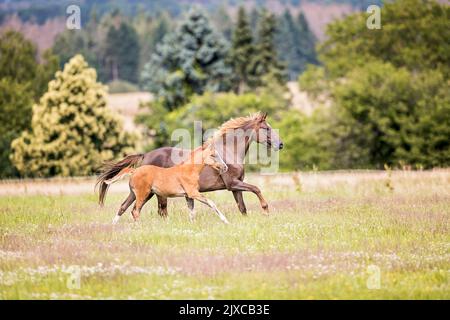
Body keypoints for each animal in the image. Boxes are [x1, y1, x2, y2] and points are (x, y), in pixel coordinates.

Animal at [96, 112, 284, 218]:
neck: (228, 151)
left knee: (124, 207)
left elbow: (242, 207)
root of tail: (145, 156)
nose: (280, 144)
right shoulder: (232, 184)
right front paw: (266, 210)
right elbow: (256, 189)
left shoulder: (235, 187)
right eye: (266, 128)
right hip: (152, 194)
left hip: (139, 193)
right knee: (158, 211)